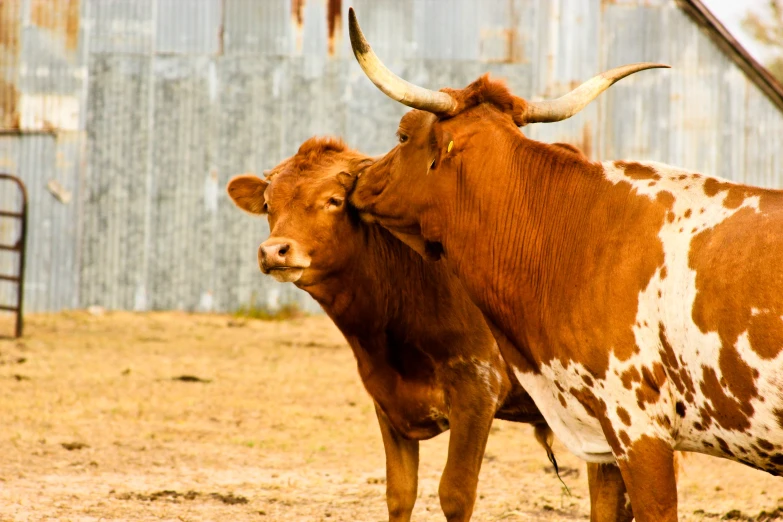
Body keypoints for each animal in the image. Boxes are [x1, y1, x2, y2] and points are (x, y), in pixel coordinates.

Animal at [225, 138, 632, 520]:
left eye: (334, 200)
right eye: (268, 204)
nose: (274, 251)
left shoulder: (477, 389)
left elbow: (455, 493)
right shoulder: (387, 399)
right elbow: (400, 492)